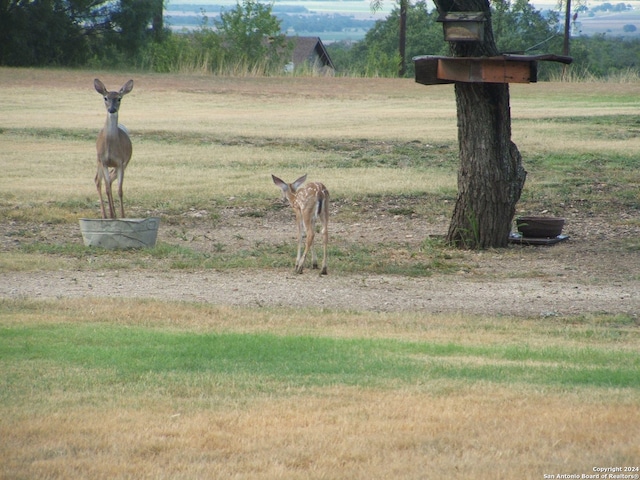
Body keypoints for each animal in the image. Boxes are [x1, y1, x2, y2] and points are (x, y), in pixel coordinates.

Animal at [93, 79, 133, 219]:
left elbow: (120, 190)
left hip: (124, 163)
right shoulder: (103, 161)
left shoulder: (120, 162)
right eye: (105, 98)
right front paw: (110, 214)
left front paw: (122, 215)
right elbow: (107, 189)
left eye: (119, 98)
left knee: (110, 179)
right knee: (98, 181)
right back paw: (106, 215)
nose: (112, 109)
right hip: (98, 161)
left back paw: (114, 213)